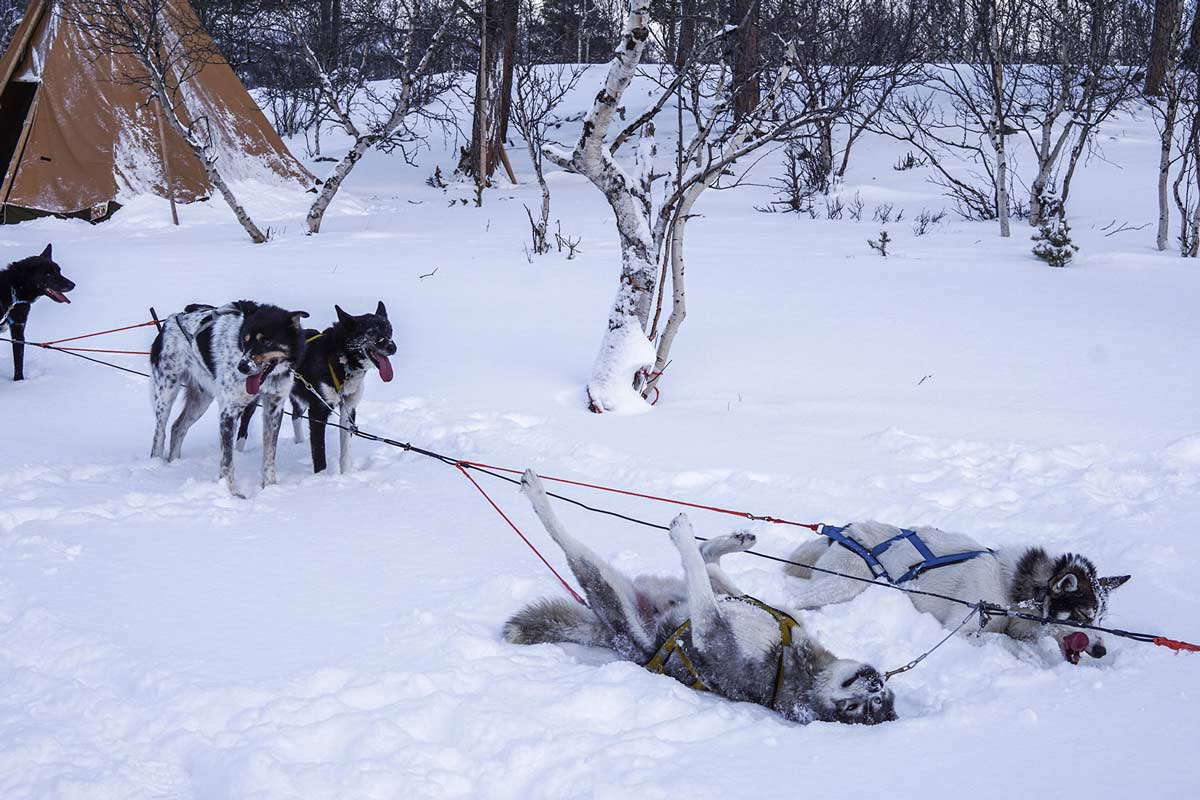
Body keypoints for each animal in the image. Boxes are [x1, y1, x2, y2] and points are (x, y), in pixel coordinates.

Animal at [1, 244, 75, 381]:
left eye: (59, 271)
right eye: (48, 274)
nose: (73, 284)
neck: (13, 291)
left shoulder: (18, 330)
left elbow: (18, 362)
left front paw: (19, 382)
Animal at [149, 299, 307, 494]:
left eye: (267, 342)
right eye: (245, 340)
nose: (242, 366)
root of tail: (172, 319)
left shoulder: (274, 408)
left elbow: (270, 454)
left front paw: (270, 488)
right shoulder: (229, 411)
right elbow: (227, 460)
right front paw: (229, 492)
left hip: (201, 400)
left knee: (177, 428)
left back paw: (174, 462)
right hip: (166, 393)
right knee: (159, 434)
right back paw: (156, 465)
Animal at [236, 302, 396, 474]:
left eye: (389, 330)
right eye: (371, 332)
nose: (392, 347)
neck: (340, 361)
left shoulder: (349, 409)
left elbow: (345, 452)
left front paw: (345, 475)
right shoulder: (318, 412)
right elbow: (319, 451)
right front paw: (321, 476)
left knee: (295, 415)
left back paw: (299, 441)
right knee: (244, 423)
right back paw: (238, 451)